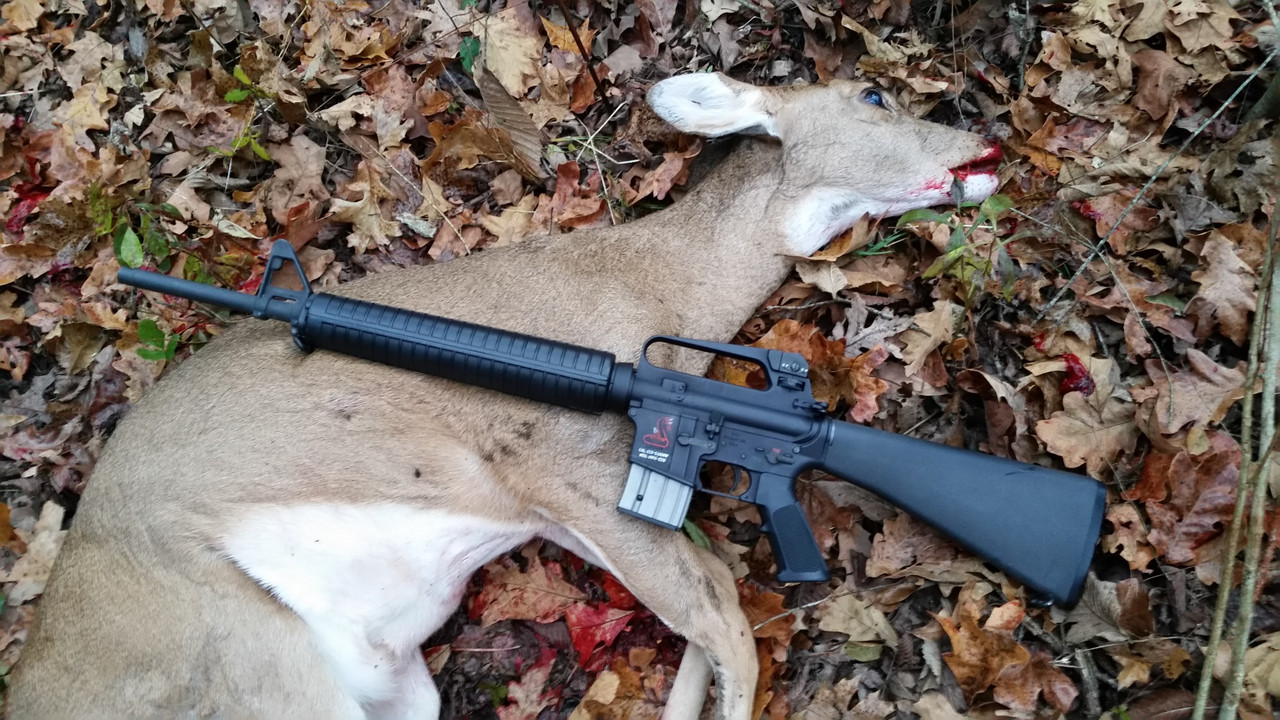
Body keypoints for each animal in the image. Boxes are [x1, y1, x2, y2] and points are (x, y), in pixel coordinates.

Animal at [8, 73, 1001, 719]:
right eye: (872, 98)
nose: (981, 146)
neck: (654, 286)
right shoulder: (555, 459)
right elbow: (722, 611)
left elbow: (710, 613)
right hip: (252, 667)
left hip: (390, 688)